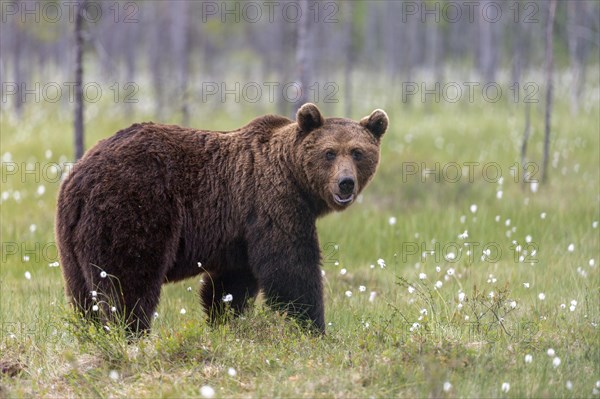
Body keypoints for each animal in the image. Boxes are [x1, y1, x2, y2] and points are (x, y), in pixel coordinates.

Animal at [56, 103, 390, 334]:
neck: (295, 178)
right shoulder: (272, 203)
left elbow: (231, 283)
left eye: (357, 152)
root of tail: (80, 176)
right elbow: (291, 268)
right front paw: (312, 327)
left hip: (71, 237)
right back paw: (130, 332)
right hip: (133, 207)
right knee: (128, 281)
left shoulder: (240, 231)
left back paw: (92, 332)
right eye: (329, 152)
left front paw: (225, 320)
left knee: (82, 293)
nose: (345, 183)